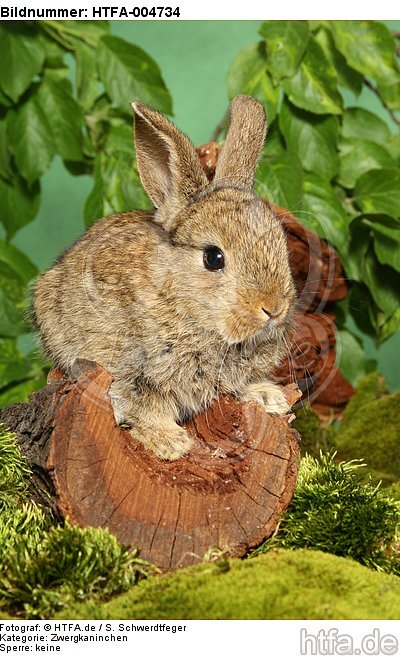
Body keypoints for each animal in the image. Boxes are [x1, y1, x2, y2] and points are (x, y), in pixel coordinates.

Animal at [33, 94, 296, 461]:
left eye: (281, 244)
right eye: (214, 258)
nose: (273, 308)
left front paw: (269, 397)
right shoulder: (131, 369)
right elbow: (142, 405)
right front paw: (170, 442)